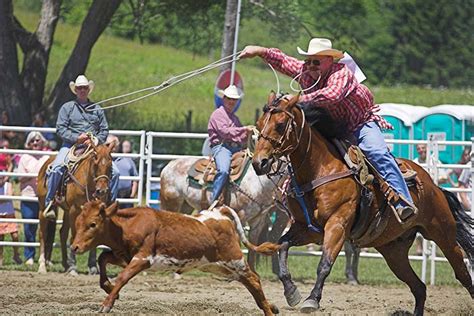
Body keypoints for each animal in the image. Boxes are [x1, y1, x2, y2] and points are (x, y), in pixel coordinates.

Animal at [36, 143, 115, 274]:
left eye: (110, 164)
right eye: (95, 162)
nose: (102, 190)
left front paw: (93, 267)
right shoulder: (75, 209)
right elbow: (73, 236)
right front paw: (73, 268)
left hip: (66, 211)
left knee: (62, 232)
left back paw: (65, 264)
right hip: (43, 208)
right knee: (43, 233)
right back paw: (42, 266)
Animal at [70, 201, 278, 314]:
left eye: (92, 224)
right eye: (78, 222)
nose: (74, 247)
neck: (128, 226)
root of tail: (219, 214)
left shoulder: (143, 259)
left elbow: (122, 277)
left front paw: (106, 304)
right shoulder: (124, 257)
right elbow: (103, 258)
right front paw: (108, 287)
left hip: (234, 259)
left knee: (253, 279)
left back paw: (268, 310)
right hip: (218, 266)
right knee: (249, 281)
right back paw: (270, 306)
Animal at [250, 92, 472, 314]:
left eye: (280, 125)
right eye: (259, 124)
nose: (259, 162)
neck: (319, 170)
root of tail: (433, 185)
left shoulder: (337, 225)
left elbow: (325, 263)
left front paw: (312, 299)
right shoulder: (307, 229)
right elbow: (281, 245)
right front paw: (291, 292)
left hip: (443, 234)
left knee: (462, 273)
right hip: (394, 252)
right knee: (419, 288)